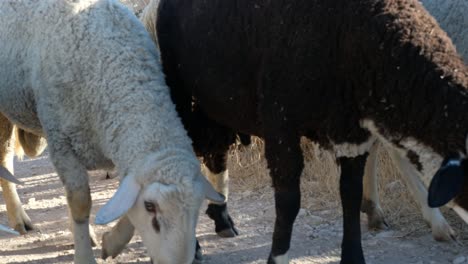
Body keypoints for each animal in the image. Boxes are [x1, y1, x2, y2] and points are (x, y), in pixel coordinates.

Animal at [0, 1, 224, 262]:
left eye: (197, 208)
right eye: (150, 206)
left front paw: (112, 242)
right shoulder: (62, 143)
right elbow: (80, 202)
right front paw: (84, 256)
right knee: (5, 159)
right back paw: (19, 218)